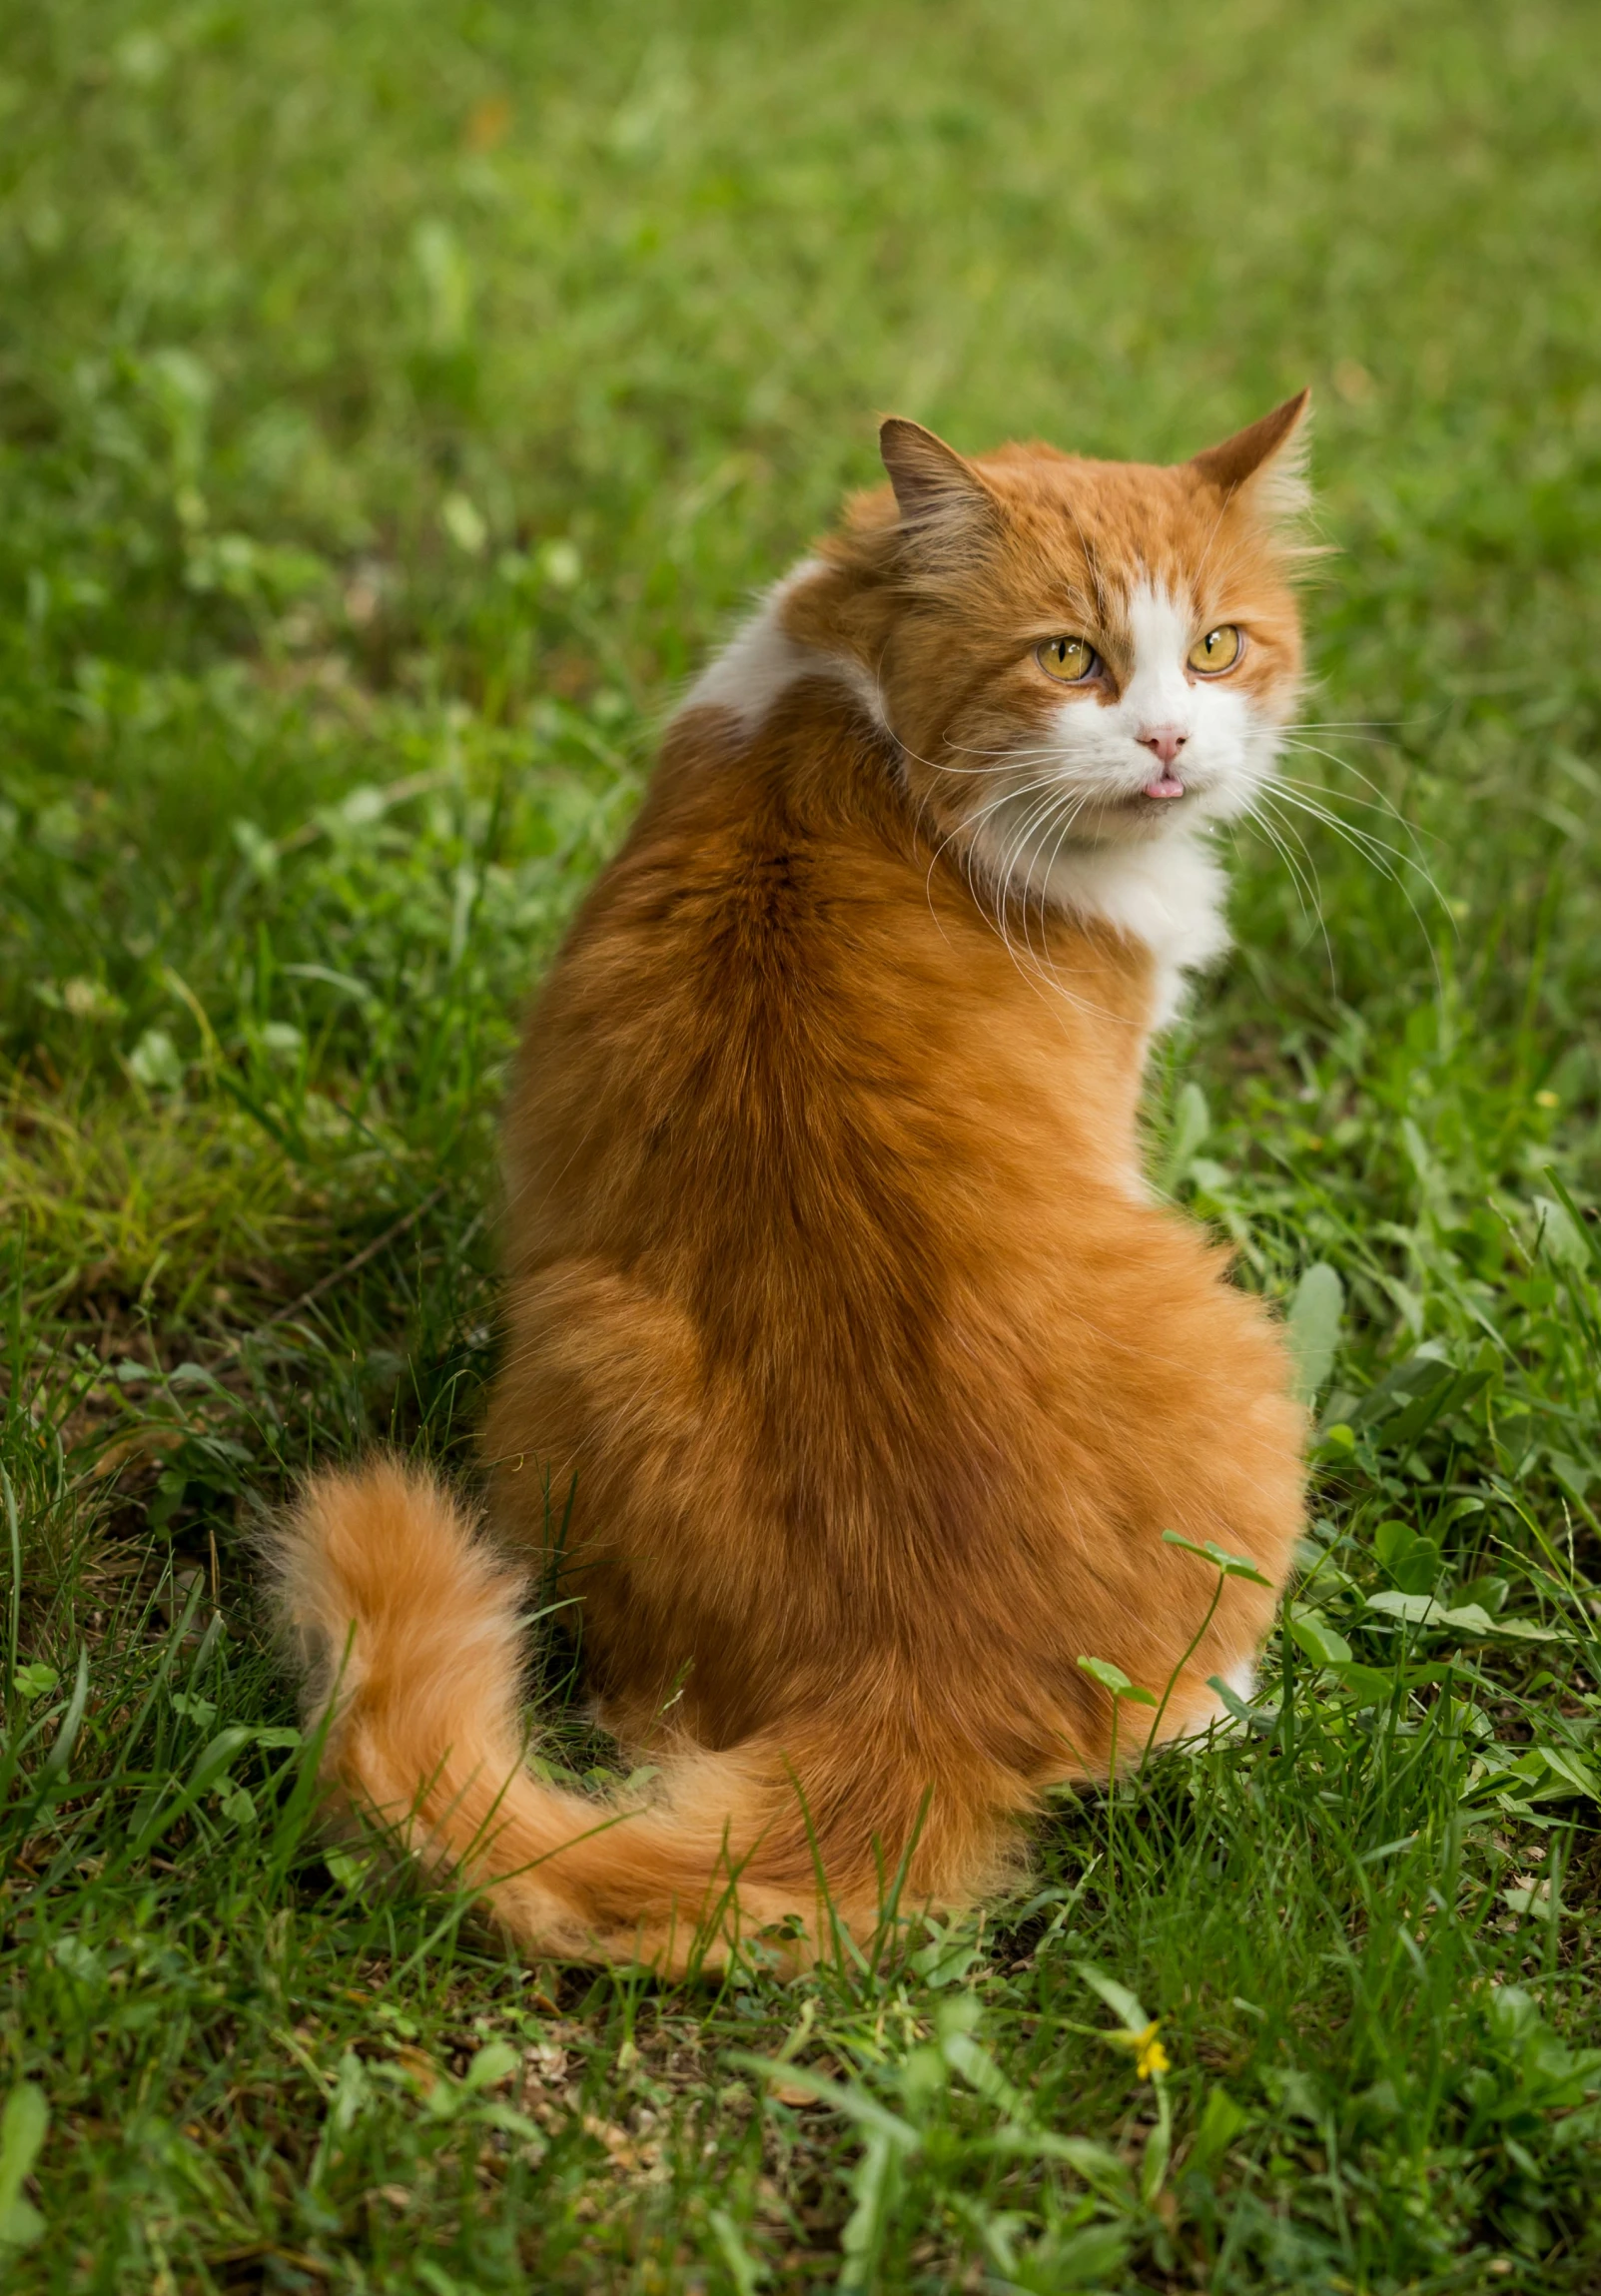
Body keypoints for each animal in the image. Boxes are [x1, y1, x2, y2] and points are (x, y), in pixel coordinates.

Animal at [265, 394, 1313, 1974]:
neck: (857, 716)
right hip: (1240, 1335)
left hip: (570, 1351)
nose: (1168, 740)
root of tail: (920, 1671)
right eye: (1069, 657)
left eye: (1214, 645)